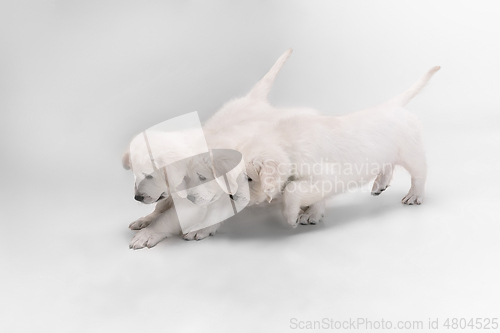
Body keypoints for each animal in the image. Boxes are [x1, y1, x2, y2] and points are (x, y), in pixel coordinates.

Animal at [240, 65, 440, 226]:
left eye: (249, 178)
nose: (234, 198)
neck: (286, 142)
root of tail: (393, 105)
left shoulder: (324, 177)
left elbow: (291, 191)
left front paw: (292, 217)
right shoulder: (319, 183)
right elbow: (314, 197)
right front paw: (312, 214)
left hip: (411, 154)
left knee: (420, 174)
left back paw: (414, 196)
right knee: (388, 166)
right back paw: (379, 185)